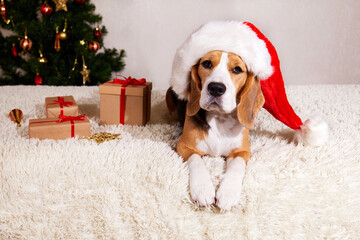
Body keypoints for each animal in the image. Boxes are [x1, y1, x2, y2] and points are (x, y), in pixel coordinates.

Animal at [166, 49, 264, 211]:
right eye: (206, 63)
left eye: (237, 69)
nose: (216, 88)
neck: (219, 119)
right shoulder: (184, 146)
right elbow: (196, 160)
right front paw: (203, 189)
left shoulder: (242, 151)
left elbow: (237, 166)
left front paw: (228, 193)